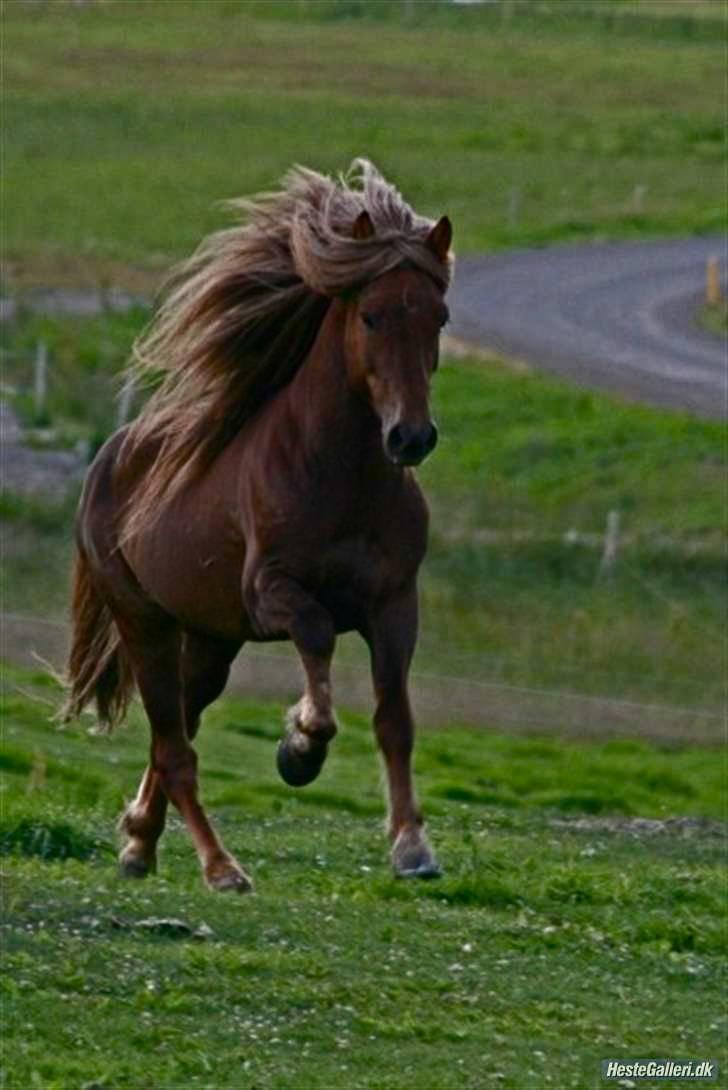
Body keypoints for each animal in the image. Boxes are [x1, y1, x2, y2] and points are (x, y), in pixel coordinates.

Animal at [62, 161, 451, 893]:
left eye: (439, 316)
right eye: (372, 315)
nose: (411, 438)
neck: (340, 476)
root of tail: (108, 459)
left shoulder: (395, 604)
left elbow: (396, 720)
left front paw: (413, 848)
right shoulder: (272, 592)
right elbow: (318, 635)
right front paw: (298, 746)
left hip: (210, 640)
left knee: (175, 733)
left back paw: (139, 842)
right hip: (146, 623)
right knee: (175, 749)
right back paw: (221, 868)